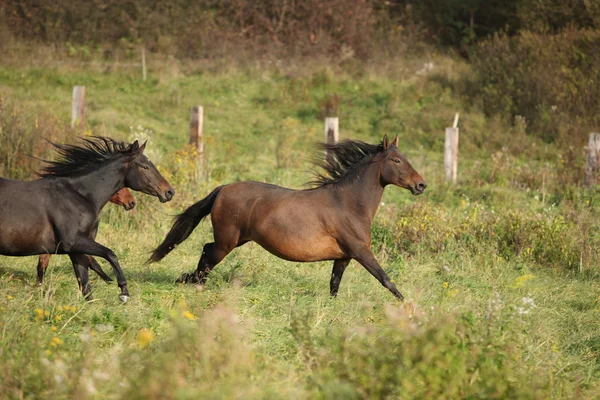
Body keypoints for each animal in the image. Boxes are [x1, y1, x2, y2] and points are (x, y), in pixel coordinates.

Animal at [0, 136, 173, 302]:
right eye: (145, 167)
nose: (170, 192)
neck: (79, 195)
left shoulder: (75, 250)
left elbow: (86, 287)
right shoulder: (72, 242)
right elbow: (110, 254)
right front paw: (123, 291)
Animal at [152, 135, 428, 300]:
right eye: (396, 160)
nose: (421, 185)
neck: (348, 204)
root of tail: (222, 189)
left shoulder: (343, 257)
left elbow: (334, 285)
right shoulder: (361, 252)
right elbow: (385, 279)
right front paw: (407, 306)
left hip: (235, 240)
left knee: (206, 252)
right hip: (226, 242)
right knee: (208, 254)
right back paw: (193, 281)